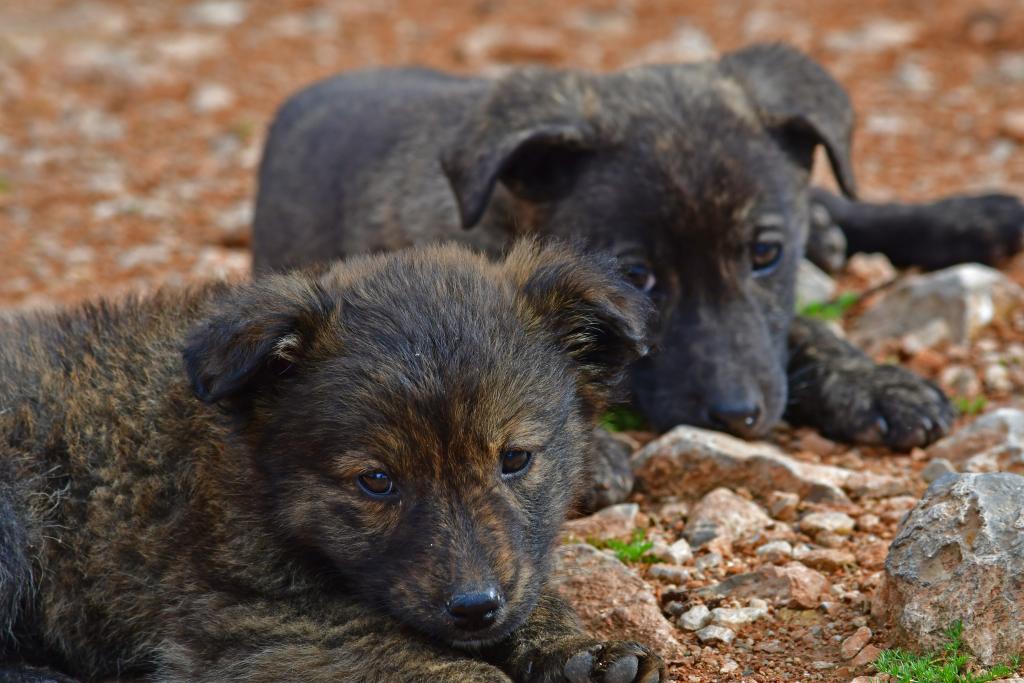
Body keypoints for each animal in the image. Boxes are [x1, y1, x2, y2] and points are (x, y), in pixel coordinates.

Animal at [0, 240, 663, 683]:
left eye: (516, 459)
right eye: (376, 481)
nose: (475, 608)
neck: (249, 476)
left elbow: (532, 594)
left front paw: (580, 651)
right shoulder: (242, 623)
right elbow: (404, 652)